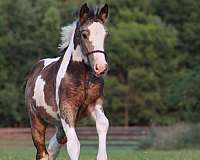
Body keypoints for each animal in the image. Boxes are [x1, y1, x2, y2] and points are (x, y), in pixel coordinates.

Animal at [24, 3, 109, 159]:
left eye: (105, 35)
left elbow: (103, 124)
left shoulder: (95, 104)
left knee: (53, 146)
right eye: (84, 34)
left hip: (60, 125)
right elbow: (74, 144)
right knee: (42, 151)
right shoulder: (67, 108)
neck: (82, 76)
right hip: (36, 118)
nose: (101, 67)